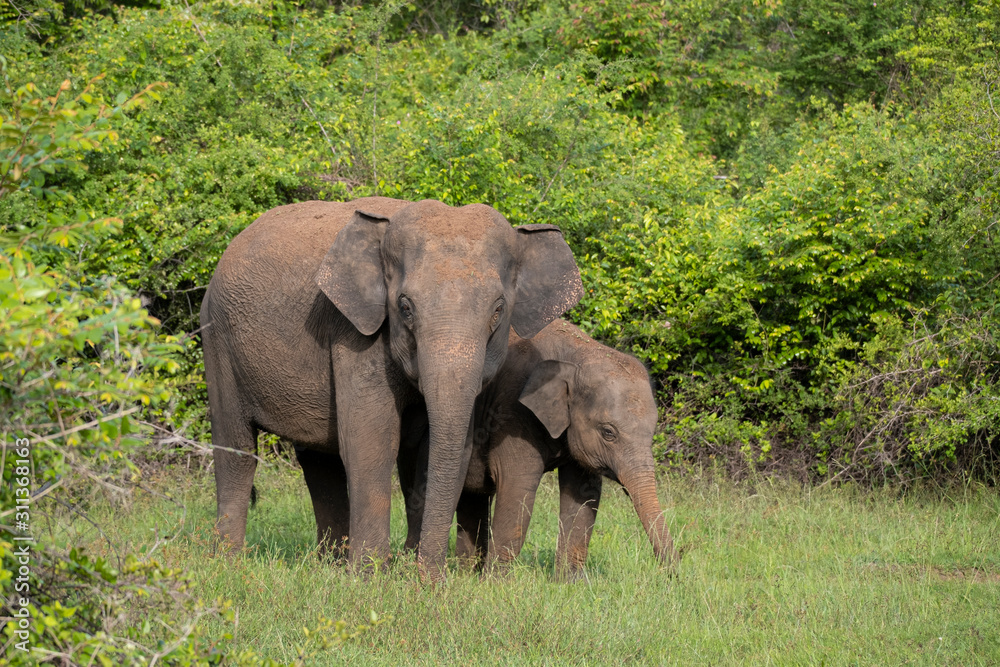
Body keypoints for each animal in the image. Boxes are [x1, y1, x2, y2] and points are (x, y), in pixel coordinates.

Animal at [199, 196, 584, 580]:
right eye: (405, 308)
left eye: (499, 310)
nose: (430, 578)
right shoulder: (354, 331)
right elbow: (372, 439)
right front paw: (370, 576)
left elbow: (430, 451)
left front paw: (408, 570)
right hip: (217, 339)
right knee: (237, 447)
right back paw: (229, 562)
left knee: (319, 461)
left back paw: (329, 565)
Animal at [400, 320, 680, 576]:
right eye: (608, 433)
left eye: (652, 433)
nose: (672, 577)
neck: (577, 355)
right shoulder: (512, 412)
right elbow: (517, 485)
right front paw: (495, 585)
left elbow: (583, 494)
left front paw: (570, 584)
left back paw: (465, 573)